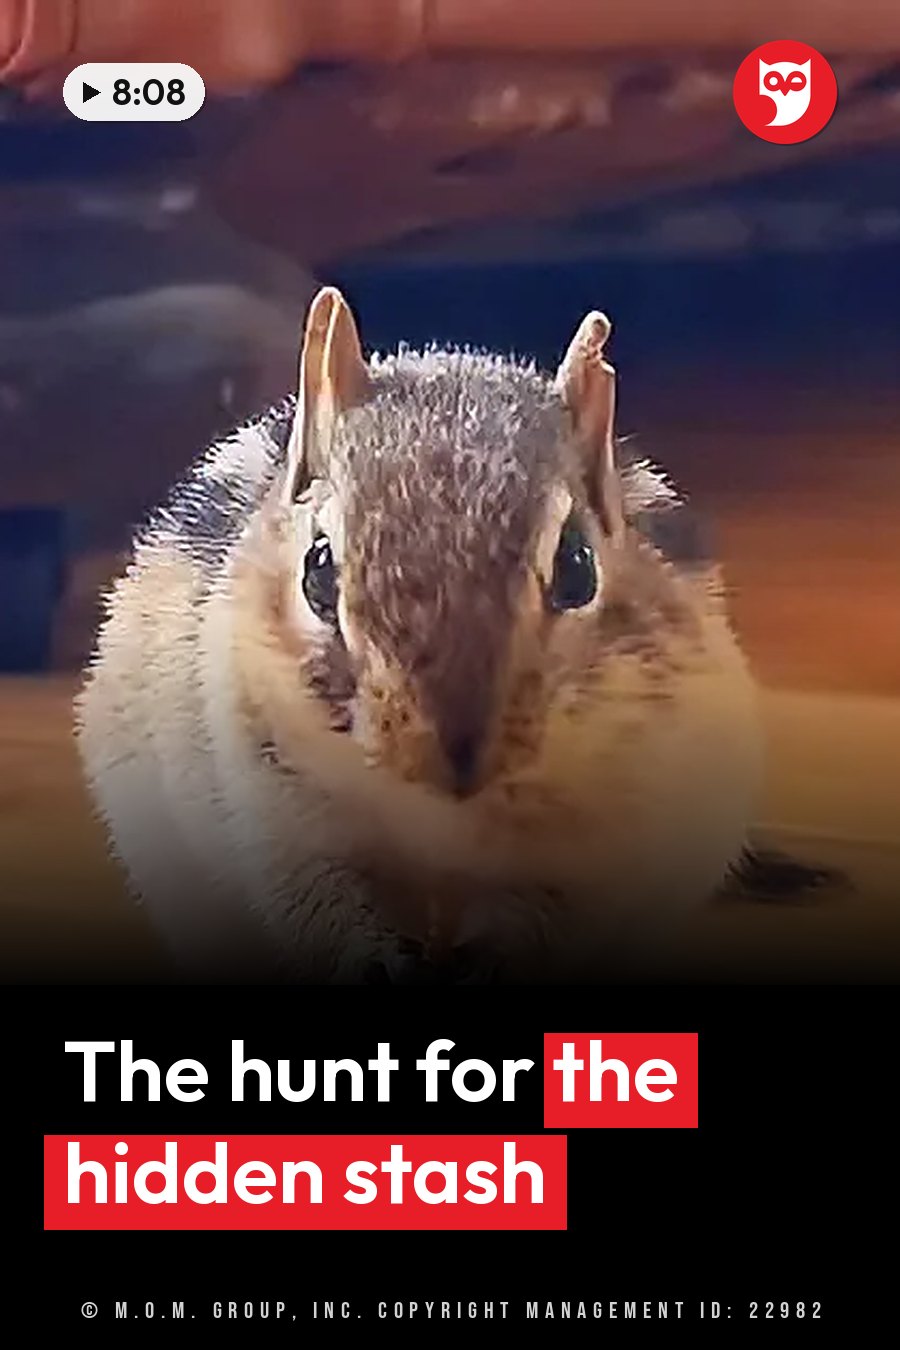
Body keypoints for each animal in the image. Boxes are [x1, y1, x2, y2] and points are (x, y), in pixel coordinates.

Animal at [76, 287, 761, 982]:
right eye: (318, 569)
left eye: (578, 565)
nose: (453, 763)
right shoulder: (275, 809)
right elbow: (314, 900)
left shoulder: (609, 832)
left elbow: (554, 912)